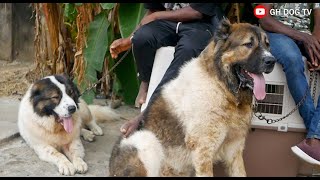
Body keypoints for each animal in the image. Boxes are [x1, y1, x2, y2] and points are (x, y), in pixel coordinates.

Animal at [109, 19, 276, 176]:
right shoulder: (203, 151)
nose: (271, 61)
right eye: (248, 44)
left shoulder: (234, 150)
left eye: (267, 45)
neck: (223, 89)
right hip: (146, 141)